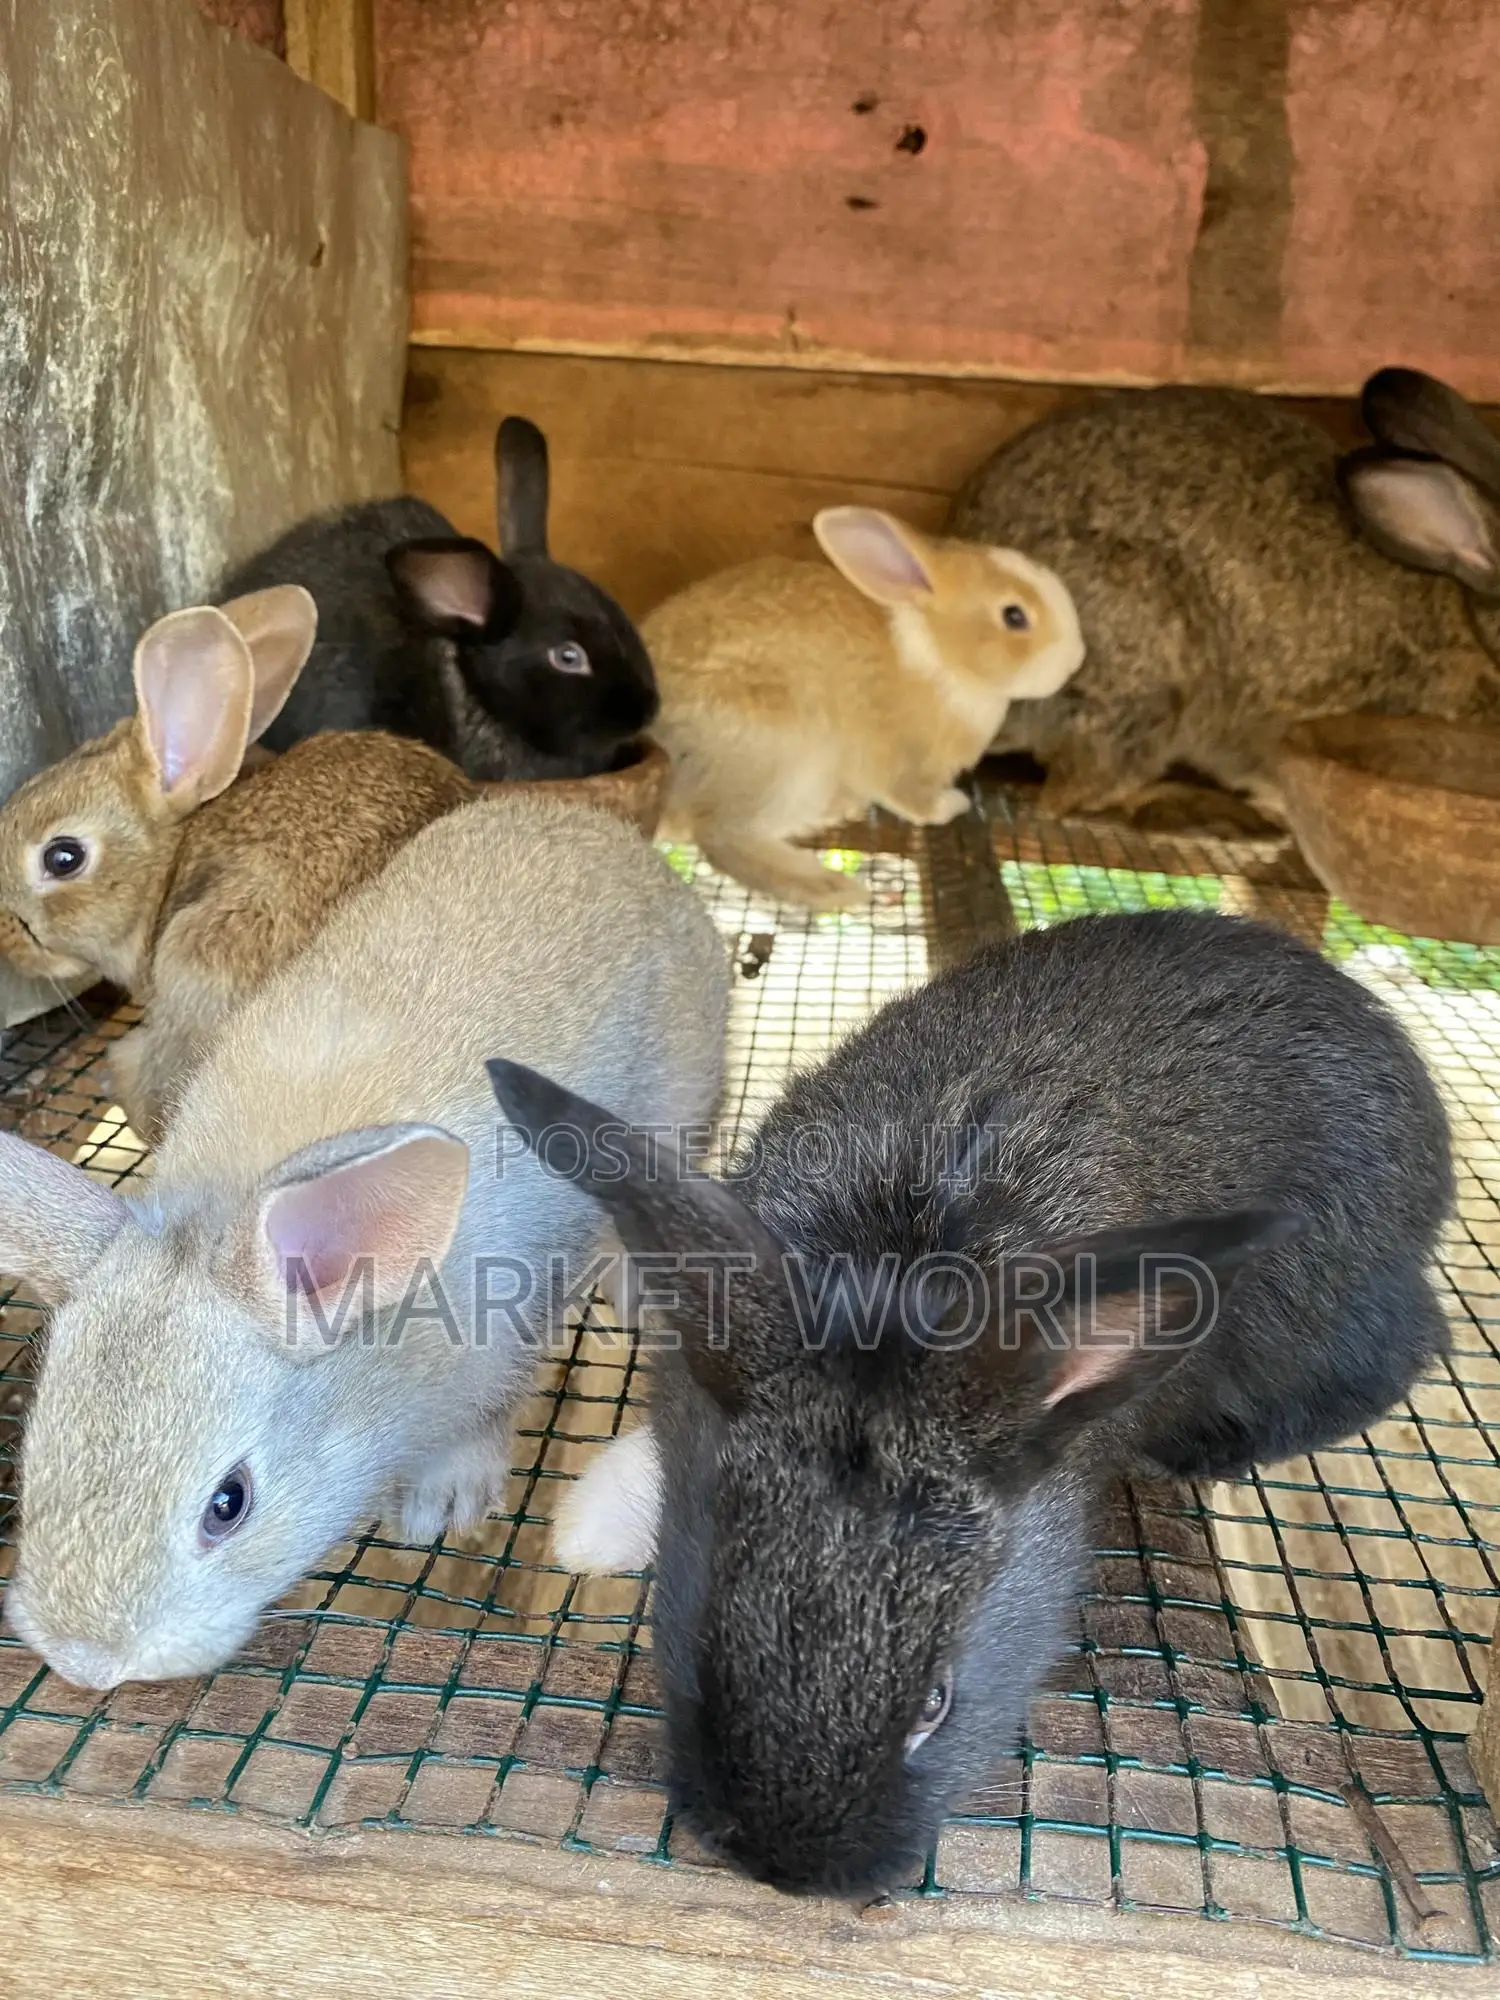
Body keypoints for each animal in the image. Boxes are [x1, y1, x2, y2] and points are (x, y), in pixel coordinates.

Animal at [488, 907, 1453, 1895]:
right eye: (706, 1642)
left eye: (935, 1704)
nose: (791, 1872)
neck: (899, 1260)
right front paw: (594, 1528)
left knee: (1403, 1355)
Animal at [641, 509, 1085, 911]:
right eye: (1014, 616)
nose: (1077, 658)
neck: (941, 654)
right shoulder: (901, 765)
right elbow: (916, 803)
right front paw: (954, 805)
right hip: (778, 753)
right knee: (721, 836)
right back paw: (835, 889)